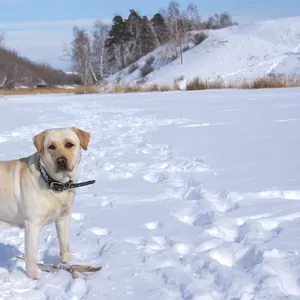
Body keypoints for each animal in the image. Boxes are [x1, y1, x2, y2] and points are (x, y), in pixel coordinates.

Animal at [0, 126, 93, 278]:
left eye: (69, 144)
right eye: (51, 147)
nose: (61, 160)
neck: (55, 185)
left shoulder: (63, 218)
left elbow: (65, 246)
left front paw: (65, 265)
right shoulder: (32, 224)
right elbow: (31, 257)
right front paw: (34, 278)